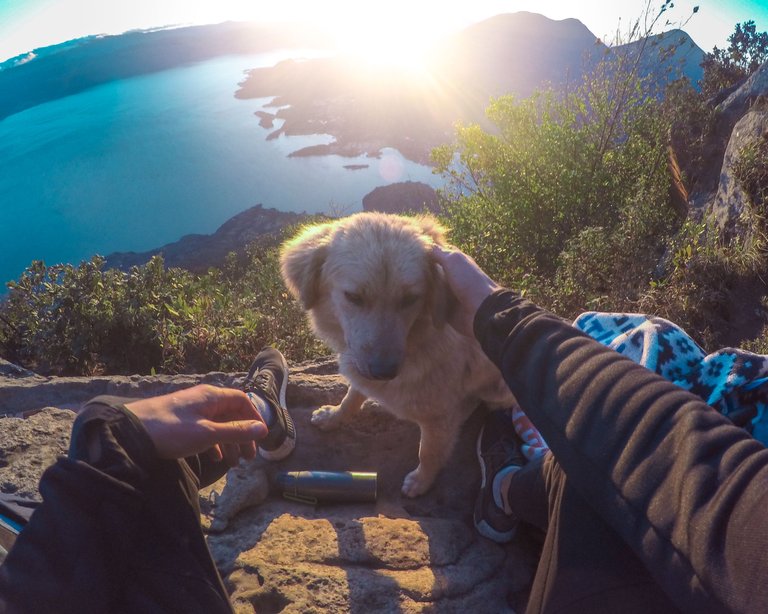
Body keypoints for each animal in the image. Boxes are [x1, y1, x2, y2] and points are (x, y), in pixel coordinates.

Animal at [280, 214, 512, 498]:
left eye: (411, 298)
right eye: (353, 297)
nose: (384, 372)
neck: (417, 344)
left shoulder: (438, 417)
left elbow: (429, 452)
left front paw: (421, 482)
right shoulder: (362, 371)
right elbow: (351, 397)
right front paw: (333, 416)